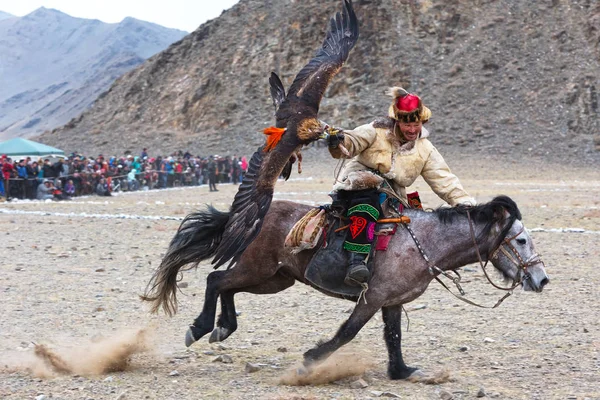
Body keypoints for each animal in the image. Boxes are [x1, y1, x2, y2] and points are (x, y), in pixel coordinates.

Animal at [141, 195, 548, 380]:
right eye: (522, 240)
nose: (542, 279)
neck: (425, 242)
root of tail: (257, 213)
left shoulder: (391, 301)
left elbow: (394, 337)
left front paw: (401, 371)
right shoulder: (372, 298)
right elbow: (347, 333)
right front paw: (310, 359)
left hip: (274, 279)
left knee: (226, 287)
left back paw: (222, 328)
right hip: (259, 269)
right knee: (216, 280)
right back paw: (201, 328)